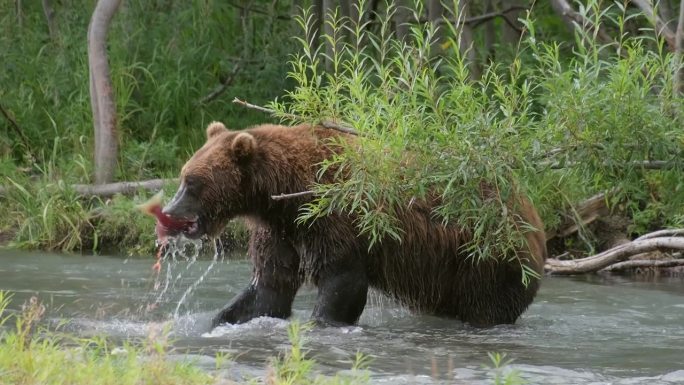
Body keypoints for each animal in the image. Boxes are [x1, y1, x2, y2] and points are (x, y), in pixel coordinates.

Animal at [160, 121, 544, 326]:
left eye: (192, 183)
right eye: (183, 176)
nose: (169, 210)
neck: (285, 194)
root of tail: (529, 207)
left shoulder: (333, 218)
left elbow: (341, 278)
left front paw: (322, 321)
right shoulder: (281, 231)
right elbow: (270, 287)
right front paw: (220, 320)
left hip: (487, 259)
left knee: (488, 306)